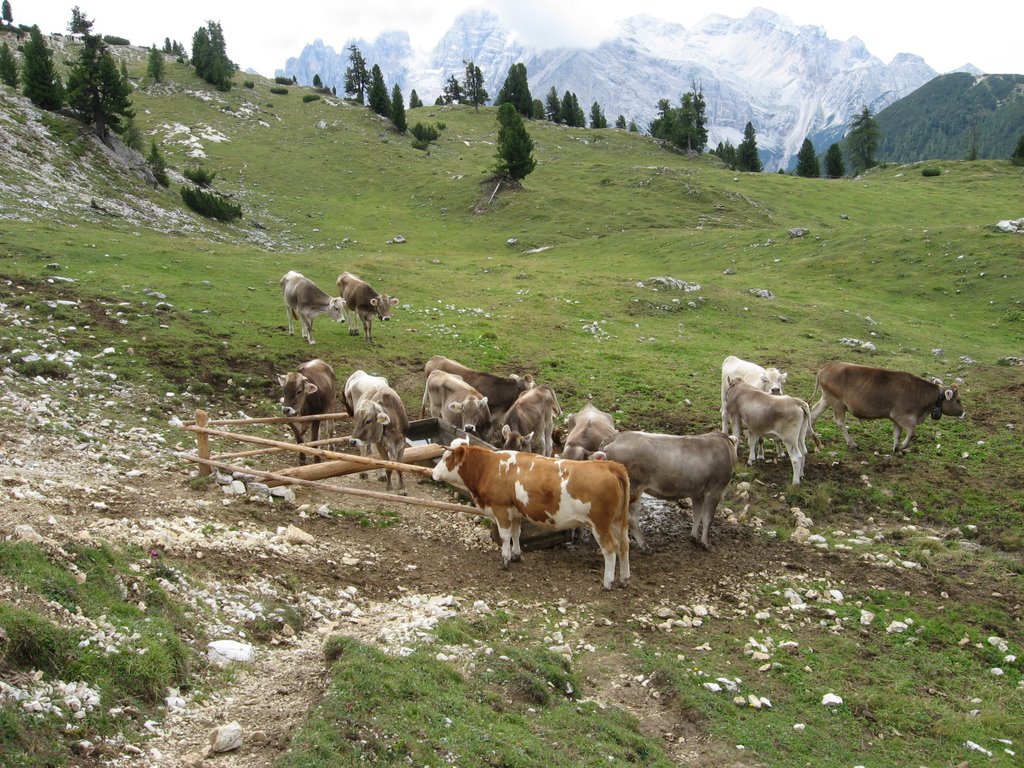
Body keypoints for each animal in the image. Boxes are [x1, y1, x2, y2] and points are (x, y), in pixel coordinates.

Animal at [432, 442, 630, 593]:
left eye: (445, 458)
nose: (433, 473)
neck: (489, 467)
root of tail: (610, 466)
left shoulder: (501, 509)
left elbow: (505, 536)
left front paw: (505, 559)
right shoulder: (515, 512)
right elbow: (516, 533)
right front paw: (516, 555)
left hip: (600, 524)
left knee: (610, 548)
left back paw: (607, 583)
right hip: (618, 522)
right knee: (624, 545)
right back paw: (625, 578)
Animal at [598, 434, 741, 552]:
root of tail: (615, 438)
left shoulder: (697, 493)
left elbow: (697, 515)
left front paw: (694, 538)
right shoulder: (714, 491)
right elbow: (707, 519)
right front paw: (706, 544)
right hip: (634, 488)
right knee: (631, 519)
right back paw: (644, 545)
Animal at [806, 362, 966, 454]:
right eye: (958, 400)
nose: (964, 413)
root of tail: (826, 367)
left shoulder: (896, 419)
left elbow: (897, 433)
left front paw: (896, 448)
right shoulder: (902, 416)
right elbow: (911, 432)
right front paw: (902, 447)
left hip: (827, 398)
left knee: (813, 413)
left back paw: (809, 435)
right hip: (837, 401)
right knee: (840, 422)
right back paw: (852, 444)